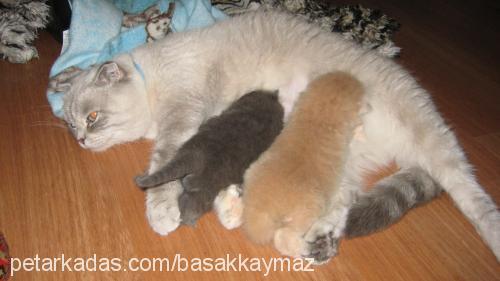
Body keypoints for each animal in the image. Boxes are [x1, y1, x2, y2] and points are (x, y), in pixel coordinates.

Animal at [241, 71, 364, 255]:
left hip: (251, 172)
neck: (322, 110)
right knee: (283, 236)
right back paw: (306, 248)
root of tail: (263, 207)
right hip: (308, 213)